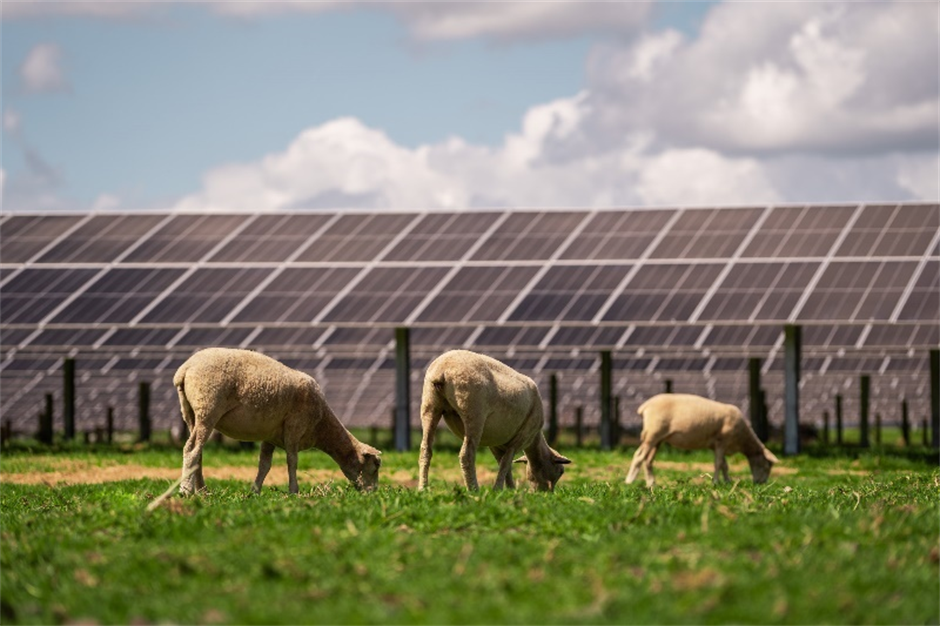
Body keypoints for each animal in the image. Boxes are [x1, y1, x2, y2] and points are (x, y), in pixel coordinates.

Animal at [173, 346, 382, 492]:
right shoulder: (295, 426)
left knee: (198, 451)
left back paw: (202, 490)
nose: (372, 493)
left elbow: (264, 465)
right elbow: (292, 460)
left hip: (190, 413)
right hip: (208, 407)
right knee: (192, 449)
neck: (321, 425)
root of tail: (185, 369)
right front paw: (294, 491)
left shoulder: (270, 436)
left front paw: (254, 492)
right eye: (375, 467)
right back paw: (186, 491)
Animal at [420, 348, 572, 490]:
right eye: (561, 471)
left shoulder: (495, 444)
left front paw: (509, 489)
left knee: (425, 449)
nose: (547, 493)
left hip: (430, 405)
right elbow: (506, 463)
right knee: (467, 454)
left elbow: (504, 465)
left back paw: (423, 489)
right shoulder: (519, 439)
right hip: (473, 411)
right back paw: (474, 489)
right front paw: (499, 489)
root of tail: (443, 369)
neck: (534, 440)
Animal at [624, 390, 780, 488]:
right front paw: (716, 482)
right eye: (767, 466)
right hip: (653, 433)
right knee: (639, 456)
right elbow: (718, 464)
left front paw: (727, 481)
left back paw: (651, 483)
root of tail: (645, 406)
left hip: (658, 439)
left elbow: (724, 465)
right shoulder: (722, 440)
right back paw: (629, 481)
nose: (761, 483)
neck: (743, 439)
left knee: (648, 460)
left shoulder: (716, 445)